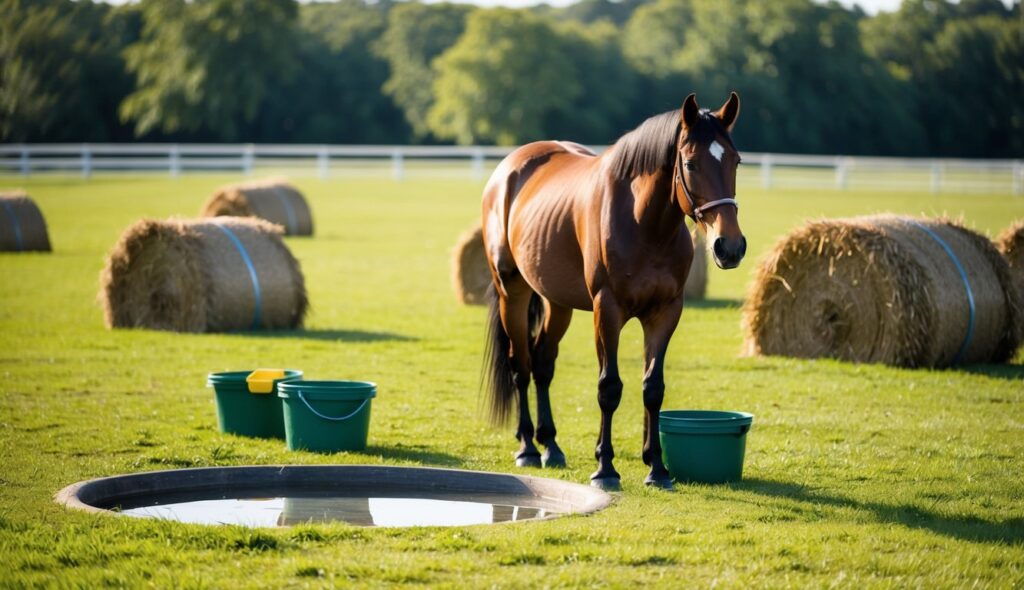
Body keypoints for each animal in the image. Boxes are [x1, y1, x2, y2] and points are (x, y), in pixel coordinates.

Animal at [479, 92, 745, 487]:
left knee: (542, 364)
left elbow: (653, 388)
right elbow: (609, 388)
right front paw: (605, 467)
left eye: (735, 161)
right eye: (690, 163)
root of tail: (508, 170)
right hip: (512, 292)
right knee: (521, 365)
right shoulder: (608, 311)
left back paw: (551, 445)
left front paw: (656, 467)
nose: (729, 247)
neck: (643, 223)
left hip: (557, 302)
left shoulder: (665, 312)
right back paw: (528, 447)